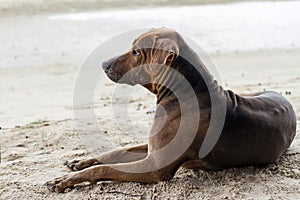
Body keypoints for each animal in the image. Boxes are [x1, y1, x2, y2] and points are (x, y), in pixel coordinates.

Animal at [45, 27, 296, 192]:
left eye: (136, 52)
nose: (103, 64)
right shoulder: (152, 148)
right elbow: (114, 153)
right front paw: (81, 162)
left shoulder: (154, 167)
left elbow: (105, 169)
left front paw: (65, 180)